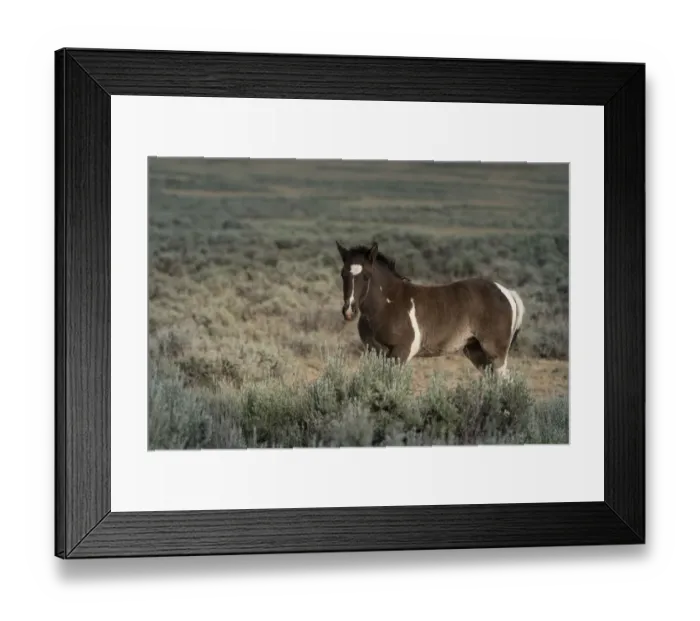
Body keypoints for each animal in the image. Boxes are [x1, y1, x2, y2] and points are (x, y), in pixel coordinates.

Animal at [335, 240, 525, 377]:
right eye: (343, 274)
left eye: (366, 276)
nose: (349, 311)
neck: (387, 304)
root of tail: (507, 292)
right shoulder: (375, 351)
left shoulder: (401, 352)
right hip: (475, 351)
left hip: (495, 353)